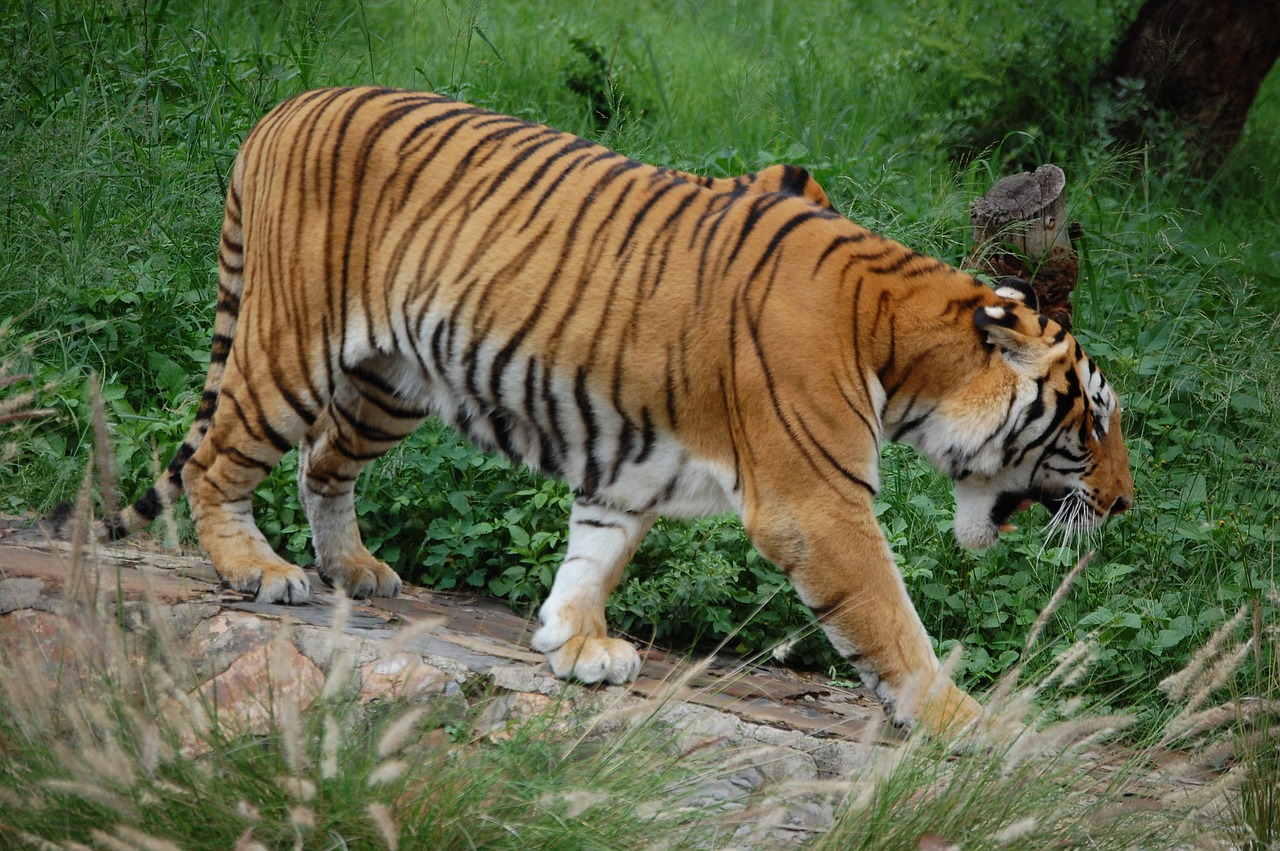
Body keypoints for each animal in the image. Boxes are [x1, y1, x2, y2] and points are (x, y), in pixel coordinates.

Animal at [70, 87, 1136, 737]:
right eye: (1091, 423)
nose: (1124, 503)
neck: (905, 348)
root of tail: (288, 103)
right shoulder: (819, 504)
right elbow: (892, 622)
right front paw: (975, 724)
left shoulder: (633, 462)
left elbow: (597, 547)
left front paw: (572, 642)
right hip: (290, 347)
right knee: (221, 459)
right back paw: (261, 569)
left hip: (387, 383)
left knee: (321, 463)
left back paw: (353, 568)